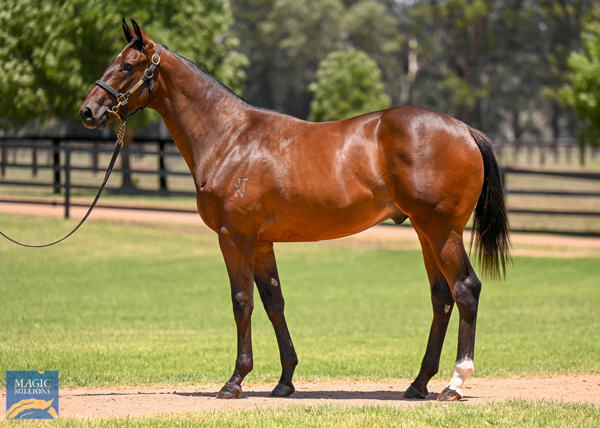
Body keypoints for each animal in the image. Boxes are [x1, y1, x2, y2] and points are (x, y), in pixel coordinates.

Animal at [79, 20, 508, 402]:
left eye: (128, 65)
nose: (88, 111)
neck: (230, 137)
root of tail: (465, 129)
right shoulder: (261, 243)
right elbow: (274, 303)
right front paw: (285, 381)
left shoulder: (234, 237)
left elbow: (242, 301)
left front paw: (234, 382)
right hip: (424, 232)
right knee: (442, 297)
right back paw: (418, 384)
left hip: (442, 232)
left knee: (465, 289)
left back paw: (454, 385)